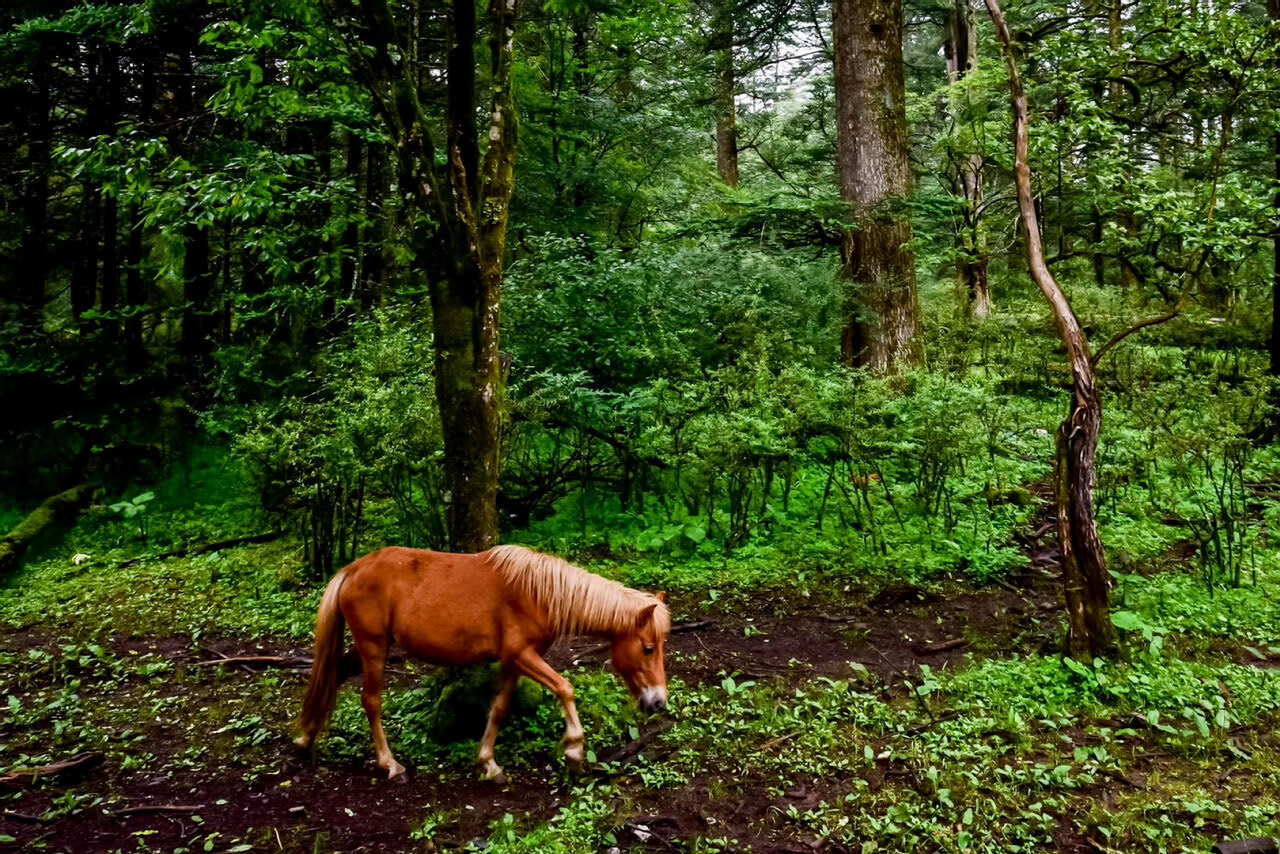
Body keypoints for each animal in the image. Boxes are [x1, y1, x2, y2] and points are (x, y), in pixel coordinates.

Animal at [291, 547, 670, 783]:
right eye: (648, 648)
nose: (658, 702)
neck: (539, 593)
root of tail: (352, 570)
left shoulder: (514, 661)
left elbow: (499, 709)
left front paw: (488, 763)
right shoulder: (523, 655)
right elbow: (565, 688)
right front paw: (575, 750)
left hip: (370, 647)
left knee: (332, 676)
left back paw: (305, 738)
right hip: (374, 648)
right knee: (371, 701)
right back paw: (391, 765)